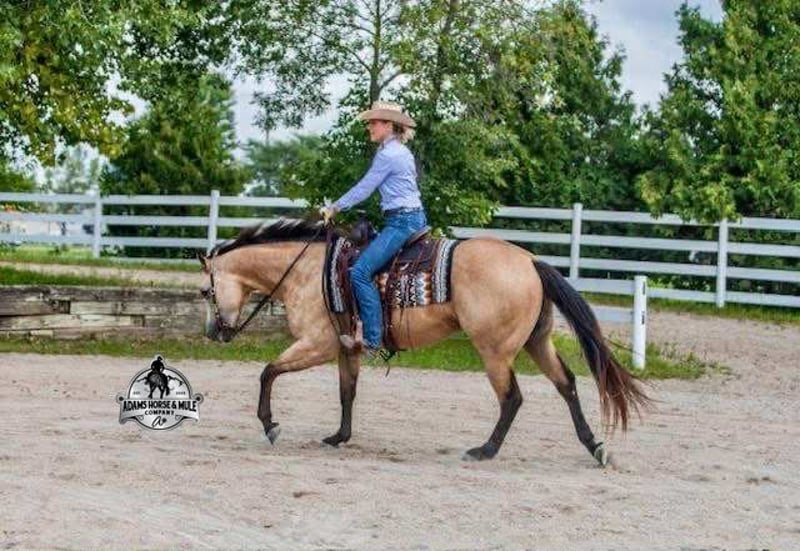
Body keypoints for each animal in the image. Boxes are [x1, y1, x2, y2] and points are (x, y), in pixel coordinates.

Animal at [198, 219, 650, 465]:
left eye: (206, 291)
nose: (213, 334)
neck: (308, 271)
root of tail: (529, 261)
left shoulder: (318, 344)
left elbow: (268, 371)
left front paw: (270, 425)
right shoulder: (347, 348)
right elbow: (347, 392)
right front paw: (339, 437)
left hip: (495, 351)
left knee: (512, 398)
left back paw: (484, 450)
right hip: (536, 343)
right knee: (567, 385)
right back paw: (595, 447)